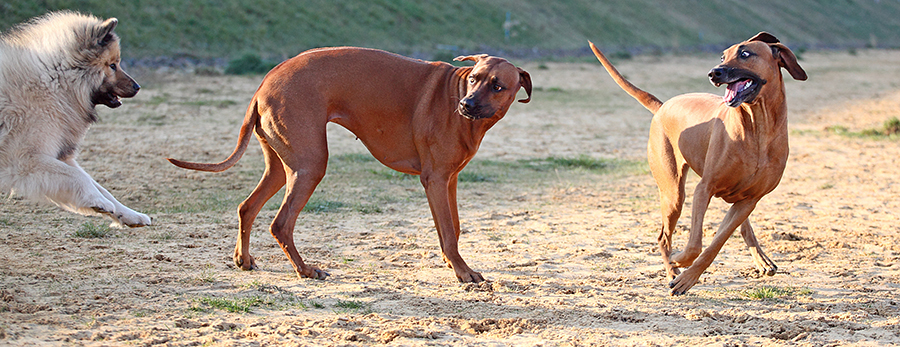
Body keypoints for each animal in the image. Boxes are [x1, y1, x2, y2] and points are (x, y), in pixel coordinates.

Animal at [171, 47, 528, 284]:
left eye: (497, 85)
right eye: (474, 79)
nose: (465, 104)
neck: (455, 92)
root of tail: (264, 83)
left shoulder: (449, 180)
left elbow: (452, 227)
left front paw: (453, 264)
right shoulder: (436, 180)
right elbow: (450, 234)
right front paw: (463, 272)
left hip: (281, 167)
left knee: (247, 207)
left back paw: (243, 260)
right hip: (311, 165)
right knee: (280, 224)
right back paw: (305, 270)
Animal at [592, 32, 808, 294]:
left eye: (745, 53)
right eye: (723, 56)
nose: (714, 73)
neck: (758, 127)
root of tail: (663, 106)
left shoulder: (750, 200)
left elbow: (715, 244)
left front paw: (688, 278)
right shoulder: (704, 189)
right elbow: (695, 244)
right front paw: (680, 266)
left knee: (739, 225)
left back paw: (761, 261)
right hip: (674, 193)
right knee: (663, 237)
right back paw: (671, 270)